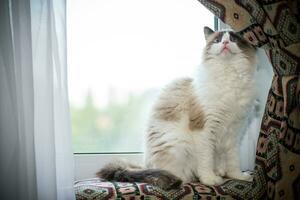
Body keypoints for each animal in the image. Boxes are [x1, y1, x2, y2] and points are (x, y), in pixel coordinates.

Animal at [97, 27, 256, 191]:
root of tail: (146, 164)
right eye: (217, 41)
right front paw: (210, 180)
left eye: (233, 39)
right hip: (179, 145)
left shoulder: (234, 132)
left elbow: (234, 161)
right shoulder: (205, 129)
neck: (229, 76)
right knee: (180, 174)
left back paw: (220, 172)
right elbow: (206, 160)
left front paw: (238, 176)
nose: (225, 43)